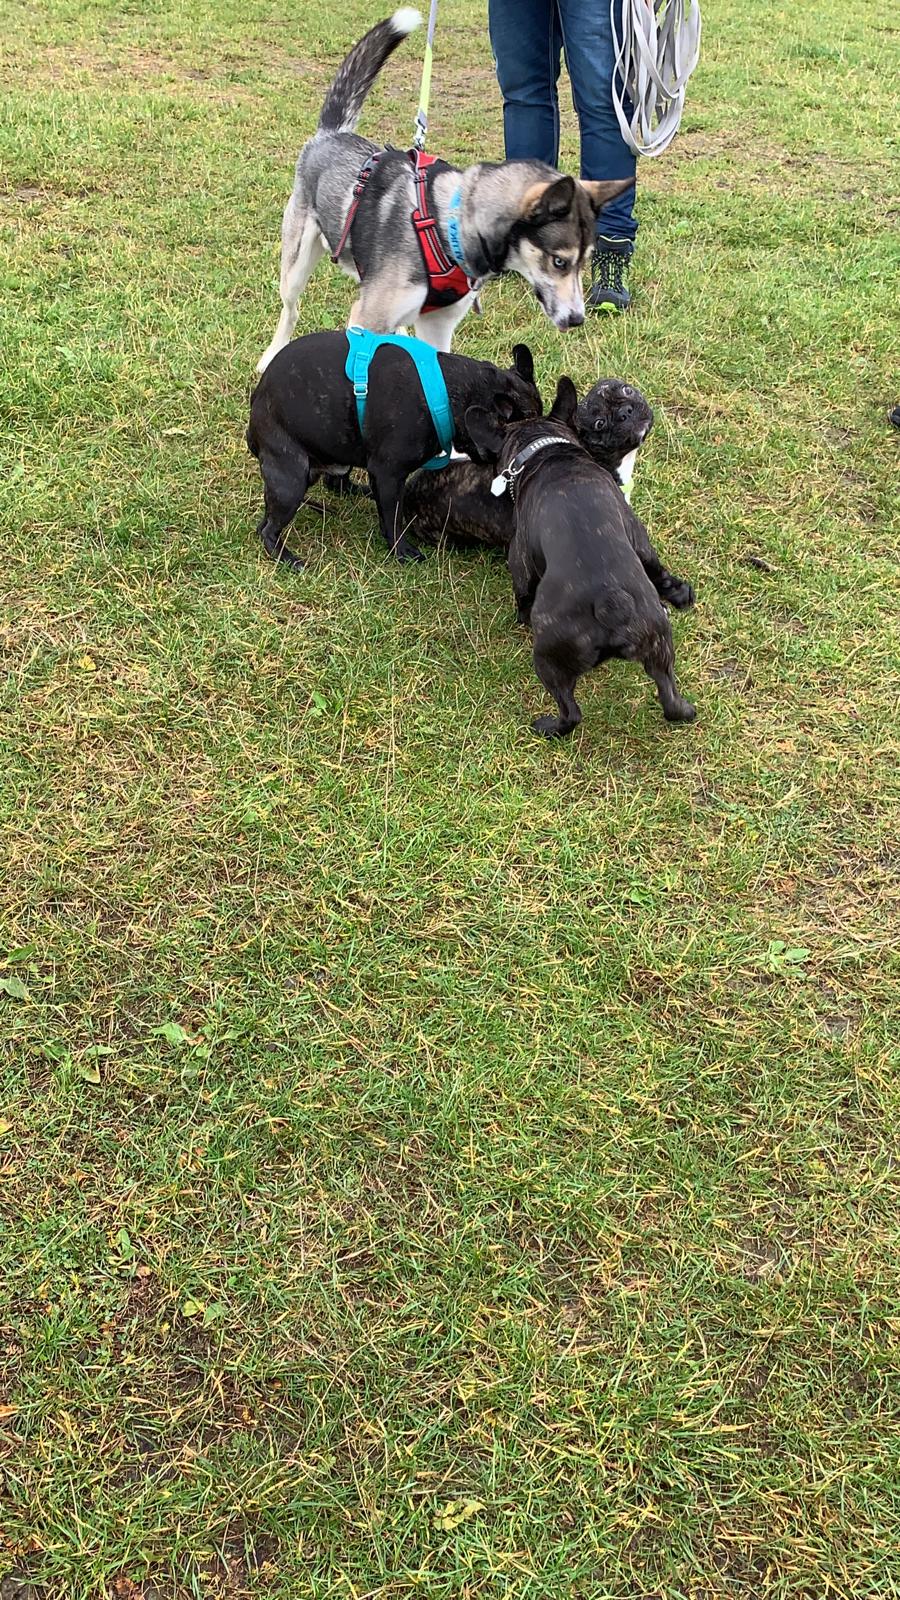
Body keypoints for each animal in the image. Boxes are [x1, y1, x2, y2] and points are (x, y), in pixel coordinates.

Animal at [247, 334, 540, 566]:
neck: (449, 395)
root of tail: (258, 398)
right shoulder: (389, 473)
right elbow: (393, 517)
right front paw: (401, 550)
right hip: (290, 480)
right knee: (268, 528)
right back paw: (286, 558)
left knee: (335, 483)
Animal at [256, 11, 631, 372]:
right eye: (559, 261)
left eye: (586, 262)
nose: (578, 318)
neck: (447, 227)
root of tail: (332, 133)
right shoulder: (365, 322)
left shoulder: (437, 326)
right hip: (296, 266)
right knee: (291, 310)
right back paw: (271, 356)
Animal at [465, 377, 696, 738]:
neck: (545, 449)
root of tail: (611, 603)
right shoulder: (637, 533)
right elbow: (656, 566)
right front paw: (679, 591)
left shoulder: (519, 560)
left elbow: (522, 592)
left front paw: (520, 616)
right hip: (659, 639)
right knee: (670, 697)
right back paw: (687, 708)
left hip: (549, 659)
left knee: (571, 712)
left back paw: (547, 726)